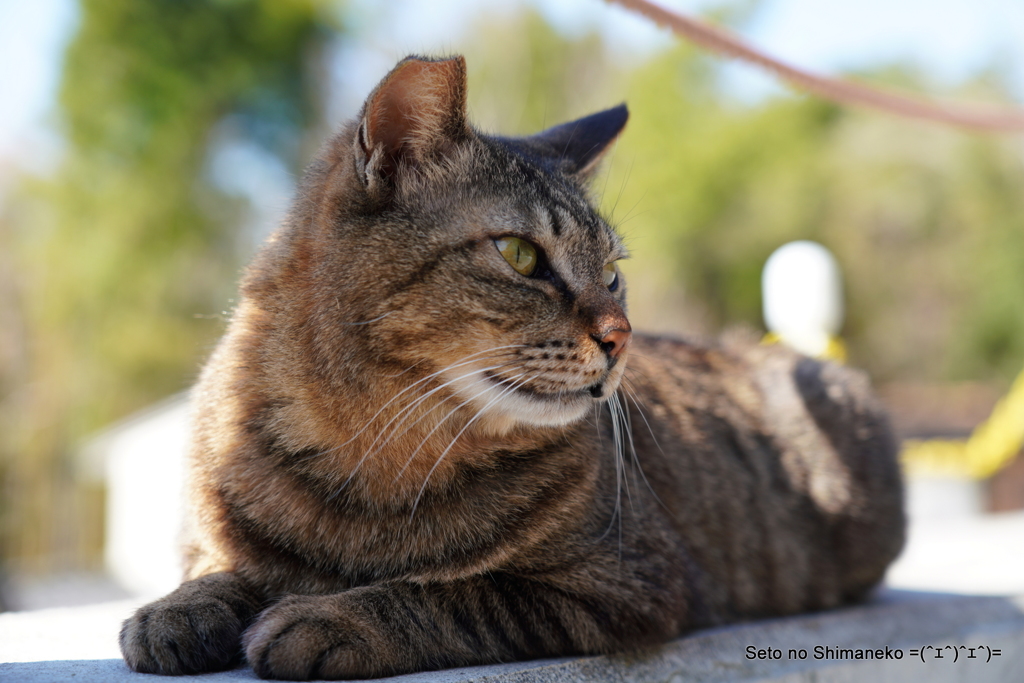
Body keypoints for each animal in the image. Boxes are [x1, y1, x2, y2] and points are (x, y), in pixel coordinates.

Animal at [117, 56, 905, 679]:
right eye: (521, 255)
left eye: (612, 273)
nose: (622, 336)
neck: (370, 451)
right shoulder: (212, 534)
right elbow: (219, 565)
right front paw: (178, 609)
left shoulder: (625, 584)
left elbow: (455, 594)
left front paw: (331, 617)